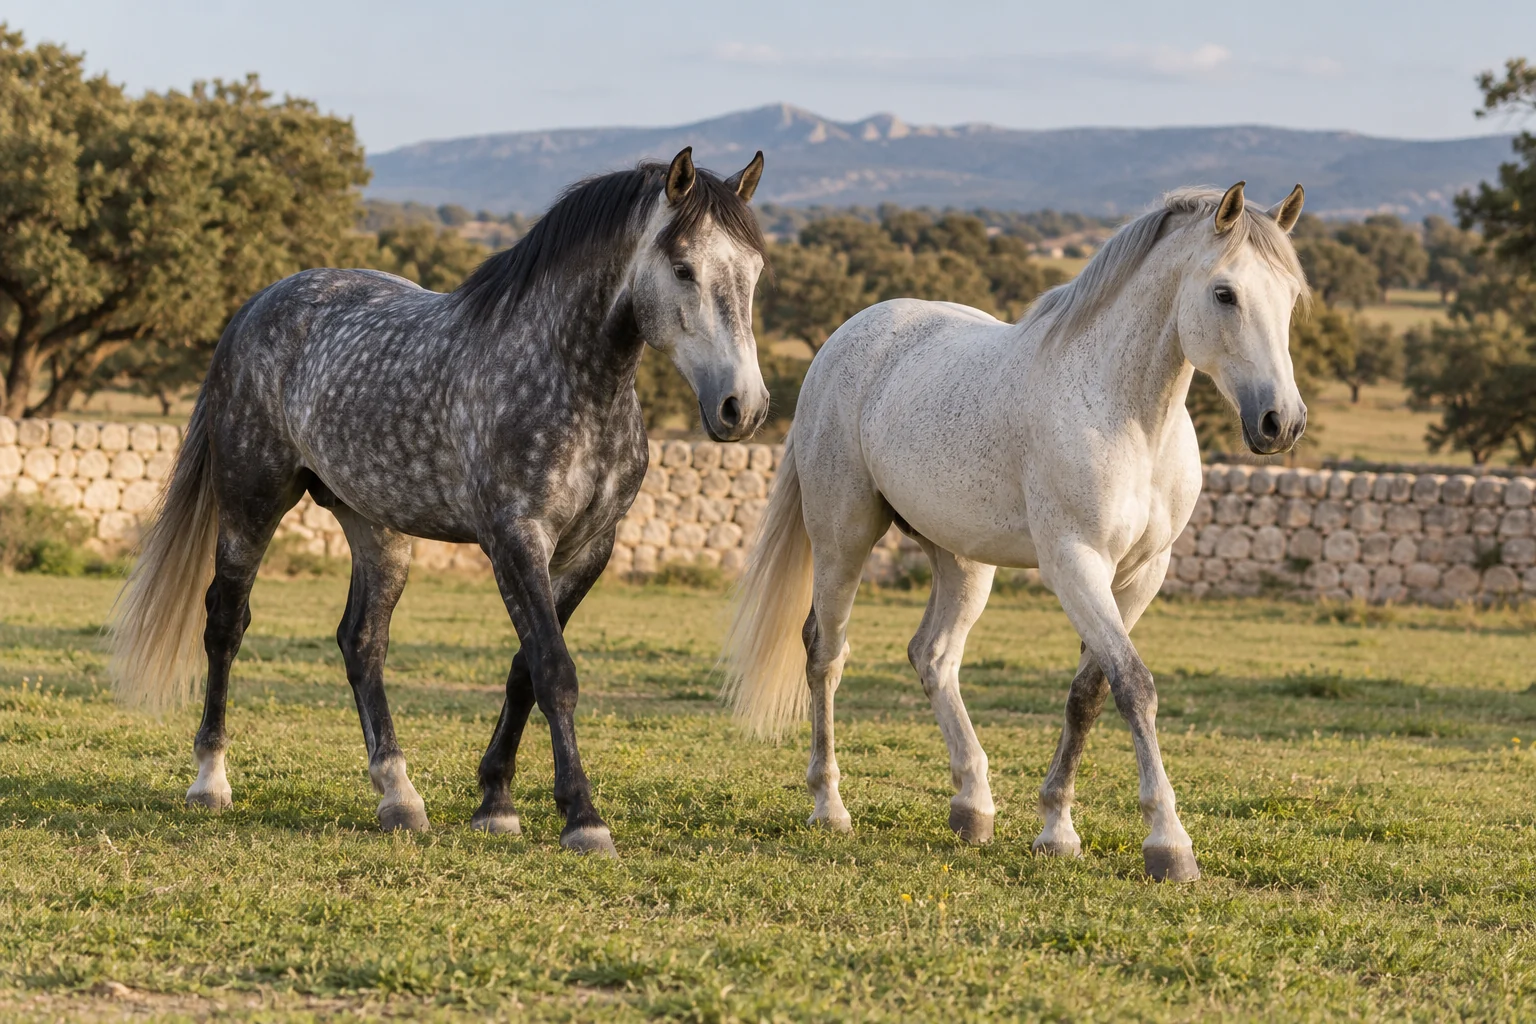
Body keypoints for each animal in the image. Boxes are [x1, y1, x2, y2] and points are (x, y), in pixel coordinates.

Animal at [110, 147, 770, 858]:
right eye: (683, 268)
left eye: (754, 270)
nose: (743, 407)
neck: (567, 379)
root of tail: (255, 307)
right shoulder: (515, 539)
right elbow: (554, 671)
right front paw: (583, 818)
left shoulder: (588, 550)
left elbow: (524, 670)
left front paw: (496, 801)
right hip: (250, 503)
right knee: (225, 624)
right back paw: (210, 781)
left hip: (376, 528)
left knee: (361, 643)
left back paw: (398, 796)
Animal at [723, 182, 1308, 881]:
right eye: (1225, 293)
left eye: (1291, 297)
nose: (1281, 422)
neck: (1127, 417)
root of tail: (846, 339)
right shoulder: (1074, 564)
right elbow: (1134, 686)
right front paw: (1168, 843)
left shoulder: (1141, 575)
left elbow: (1089, 692)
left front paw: (1057, 828)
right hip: (844, 538)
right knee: (825, 652)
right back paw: (830, 805)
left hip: (963, 560)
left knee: (933, 656)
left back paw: (972, 806)